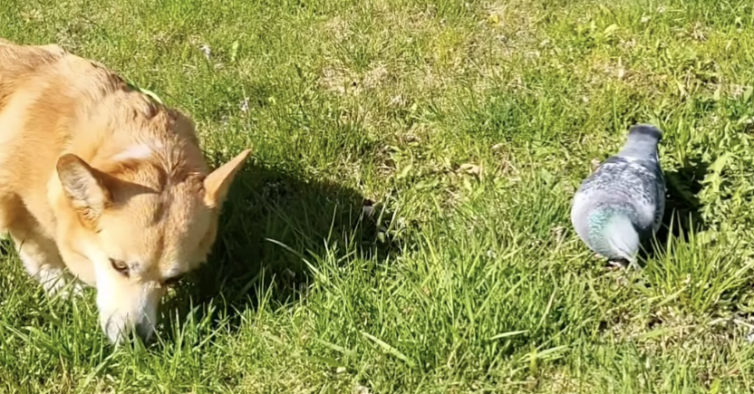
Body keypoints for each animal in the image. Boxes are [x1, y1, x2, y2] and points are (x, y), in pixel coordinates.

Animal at [0, 38, 251, 344]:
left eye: (173, 279)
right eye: (118, 266)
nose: (135, 341)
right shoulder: (15, 204)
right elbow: (38, 252)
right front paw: (63, 289)